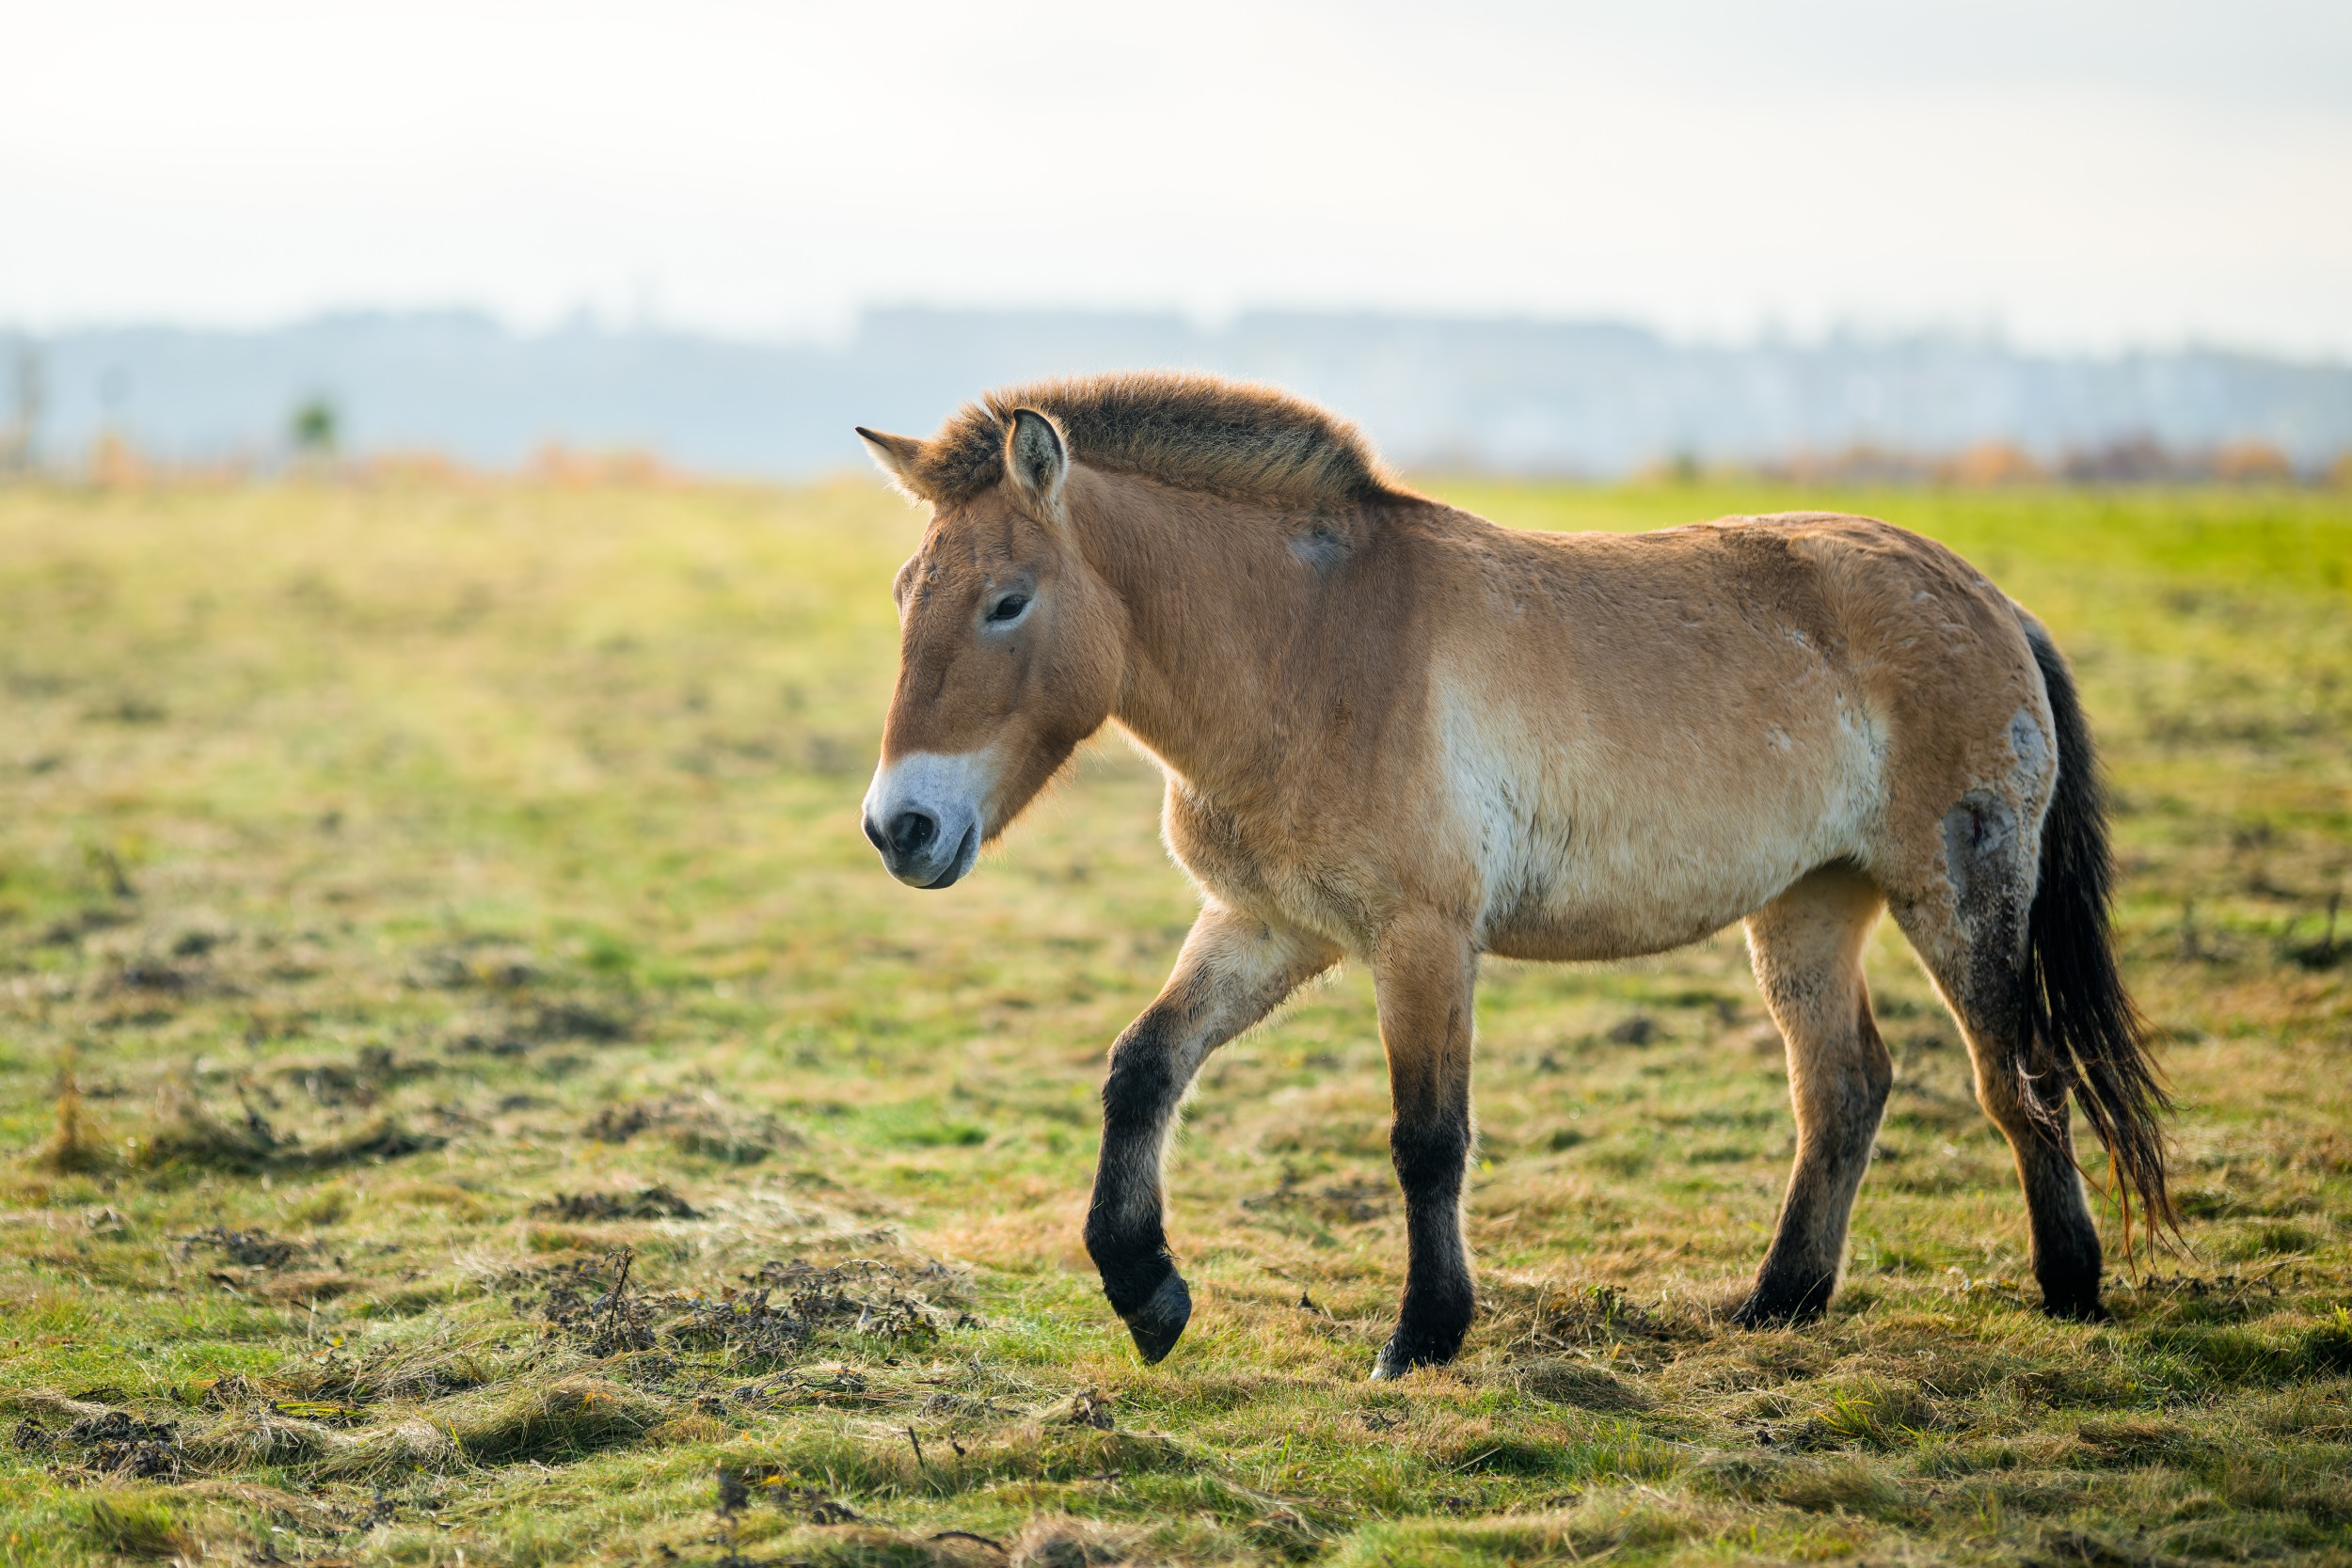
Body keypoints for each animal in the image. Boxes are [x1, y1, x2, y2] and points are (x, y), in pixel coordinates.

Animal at [851, 373, 2164, 1382]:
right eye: (906, 594)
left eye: (1007, 601)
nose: (900, 828)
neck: (1307, 646)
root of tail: (1990, 601)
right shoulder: (1267, 923)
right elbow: (1142, 1067)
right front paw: (1148, 1292)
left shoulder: (1421, 936)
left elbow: (1427, 1137)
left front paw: (1422, 1337)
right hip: (1808, 903)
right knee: (1842, 1086)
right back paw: (1777, 1301)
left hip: (1958, 890)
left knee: (2019, 1073)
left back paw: (2068, 1285)